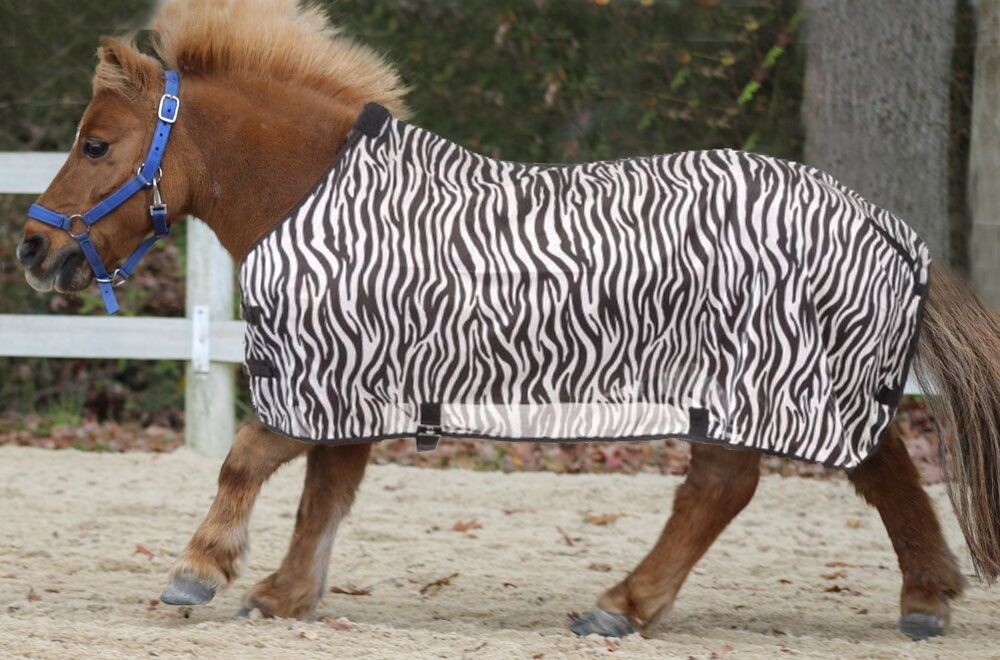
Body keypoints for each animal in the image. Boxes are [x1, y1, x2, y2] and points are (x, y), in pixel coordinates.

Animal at [15, 0, 1000, 641]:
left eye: (96, 144)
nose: (31, 246)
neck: (316, 199)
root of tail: (888, 225)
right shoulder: (353, 389)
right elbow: (323, 496)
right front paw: (288, 594)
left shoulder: (327, 378)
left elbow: (246, 460)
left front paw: (199, 571)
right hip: (814, 390)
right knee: (883, 474)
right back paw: (925, 599)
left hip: (754, 390)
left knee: (726, 490)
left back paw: (622, 606)